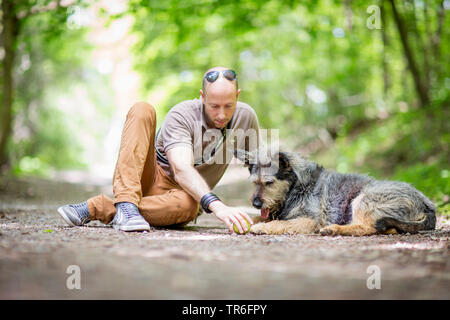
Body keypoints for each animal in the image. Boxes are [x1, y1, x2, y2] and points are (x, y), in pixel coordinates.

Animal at [236, 149, 436, 236]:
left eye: (269, 183)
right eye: (254, 183)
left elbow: (281, 223)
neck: (296, 186)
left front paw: (262, 227)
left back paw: (333, 229)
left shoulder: (310, 220)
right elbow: (260, 217)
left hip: (364, 199)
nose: (256, 203)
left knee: (368, 228)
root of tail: (428, 204)